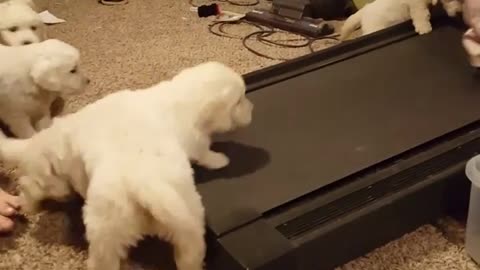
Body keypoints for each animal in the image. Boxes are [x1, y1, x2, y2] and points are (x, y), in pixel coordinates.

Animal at [0, 61, 255, 270]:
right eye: (240, 99)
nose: (252, 109)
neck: (178, 99)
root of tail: (143, 183)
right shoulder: (196, 142)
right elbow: (205, 153)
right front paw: (220, 159)